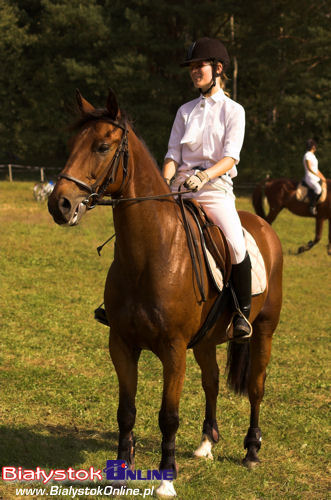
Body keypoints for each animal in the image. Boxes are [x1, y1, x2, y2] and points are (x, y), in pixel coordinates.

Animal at [48, 91, 284, 496]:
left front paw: (165, 478)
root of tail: (264, 227)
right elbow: (126, 411)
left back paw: (252, 451)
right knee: (212, 381)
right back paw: (206, 444)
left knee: (256, 386)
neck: (151, 253)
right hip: (206, 340)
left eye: (102, 146)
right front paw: (121, 469)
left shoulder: (173, 350)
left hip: (264, 331)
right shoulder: (122, 343)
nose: (59, 204)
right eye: (72, 145)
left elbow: (168, 416)